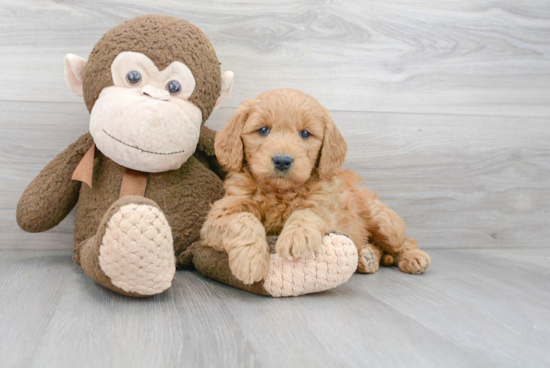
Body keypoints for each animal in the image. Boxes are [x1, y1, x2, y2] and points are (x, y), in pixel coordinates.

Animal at [202, 88, 432, 284]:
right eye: (263, 130)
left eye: (305, 134)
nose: (282, 161)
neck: (280, 192)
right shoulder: (219, 215)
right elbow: (242, 219)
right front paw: (250, 260)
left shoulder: (328, 207)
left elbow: (308, 212)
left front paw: (296, 236)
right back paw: (367, 258)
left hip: (383, 222)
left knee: (403, 242)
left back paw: (413, 257)